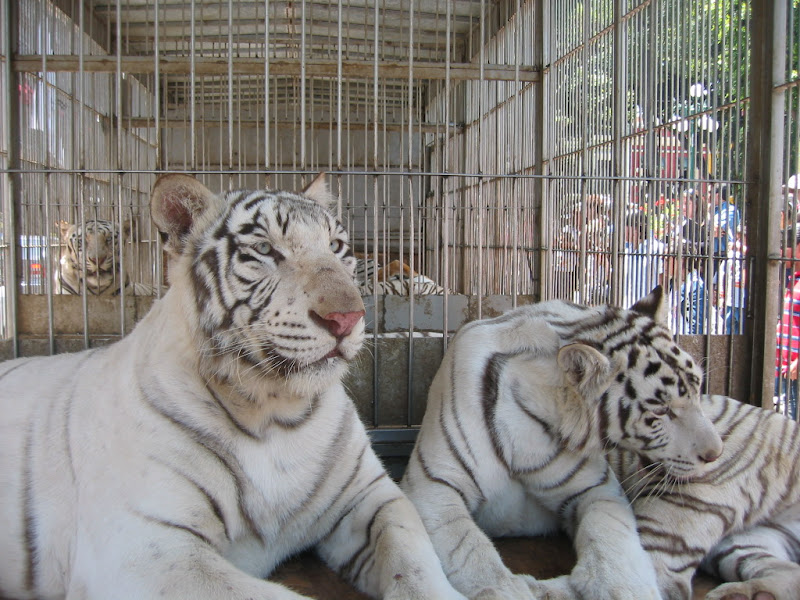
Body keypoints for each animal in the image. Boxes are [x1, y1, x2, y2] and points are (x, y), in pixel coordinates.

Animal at [0, 173, 465, 600]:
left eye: (335, 247)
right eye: (264, 250)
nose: (347, 318)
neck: (277, 412)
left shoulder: (370, 497)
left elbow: (413, 558)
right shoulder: (147, 549)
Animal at [400, 287, 723, 600]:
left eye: (698, 388)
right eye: (661, 410)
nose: (715, 454)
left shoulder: (596, 489)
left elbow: (612, 537)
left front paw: (627, 589)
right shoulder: (435, 483)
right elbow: (469, 549)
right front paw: (505, 590)